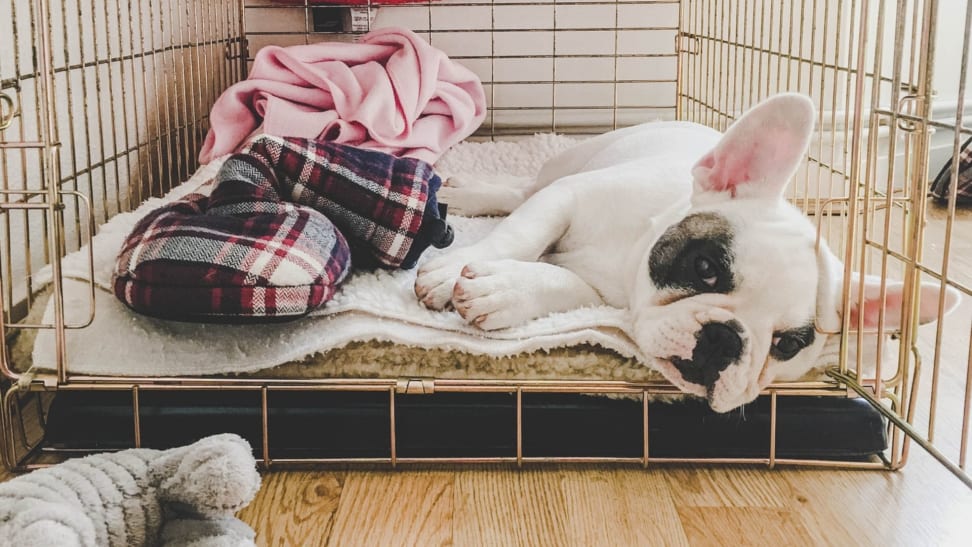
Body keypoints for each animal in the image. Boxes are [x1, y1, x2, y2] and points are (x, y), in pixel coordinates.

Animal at [414, 93, 960, 412]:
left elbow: (561, 284)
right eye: (705, 267)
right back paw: (471, 194)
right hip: (568, 165)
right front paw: (448, 273)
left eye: (787, 345)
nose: (724, 339)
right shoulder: (566, 197)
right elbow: (520, 233)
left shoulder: (599, 292)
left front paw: (503, 291)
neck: (629, 258)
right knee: (522, 192)